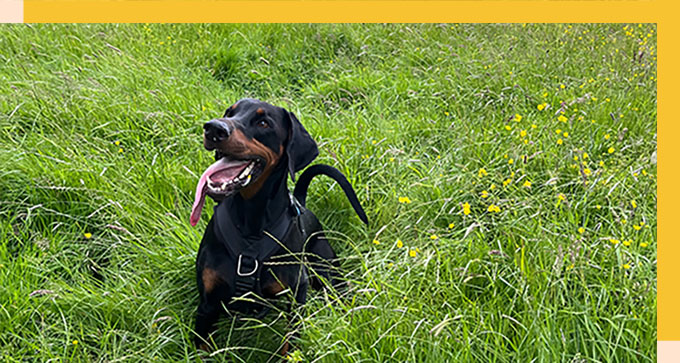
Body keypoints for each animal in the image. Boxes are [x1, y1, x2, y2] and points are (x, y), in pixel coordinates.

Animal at [189, 98, 370, 356]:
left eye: (263, 123)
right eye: (229, 113)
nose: (213, 128)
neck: (251, 223)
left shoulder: (296, 296)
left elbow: (290, 344)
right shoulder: (207, 304)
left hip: (330, 274)